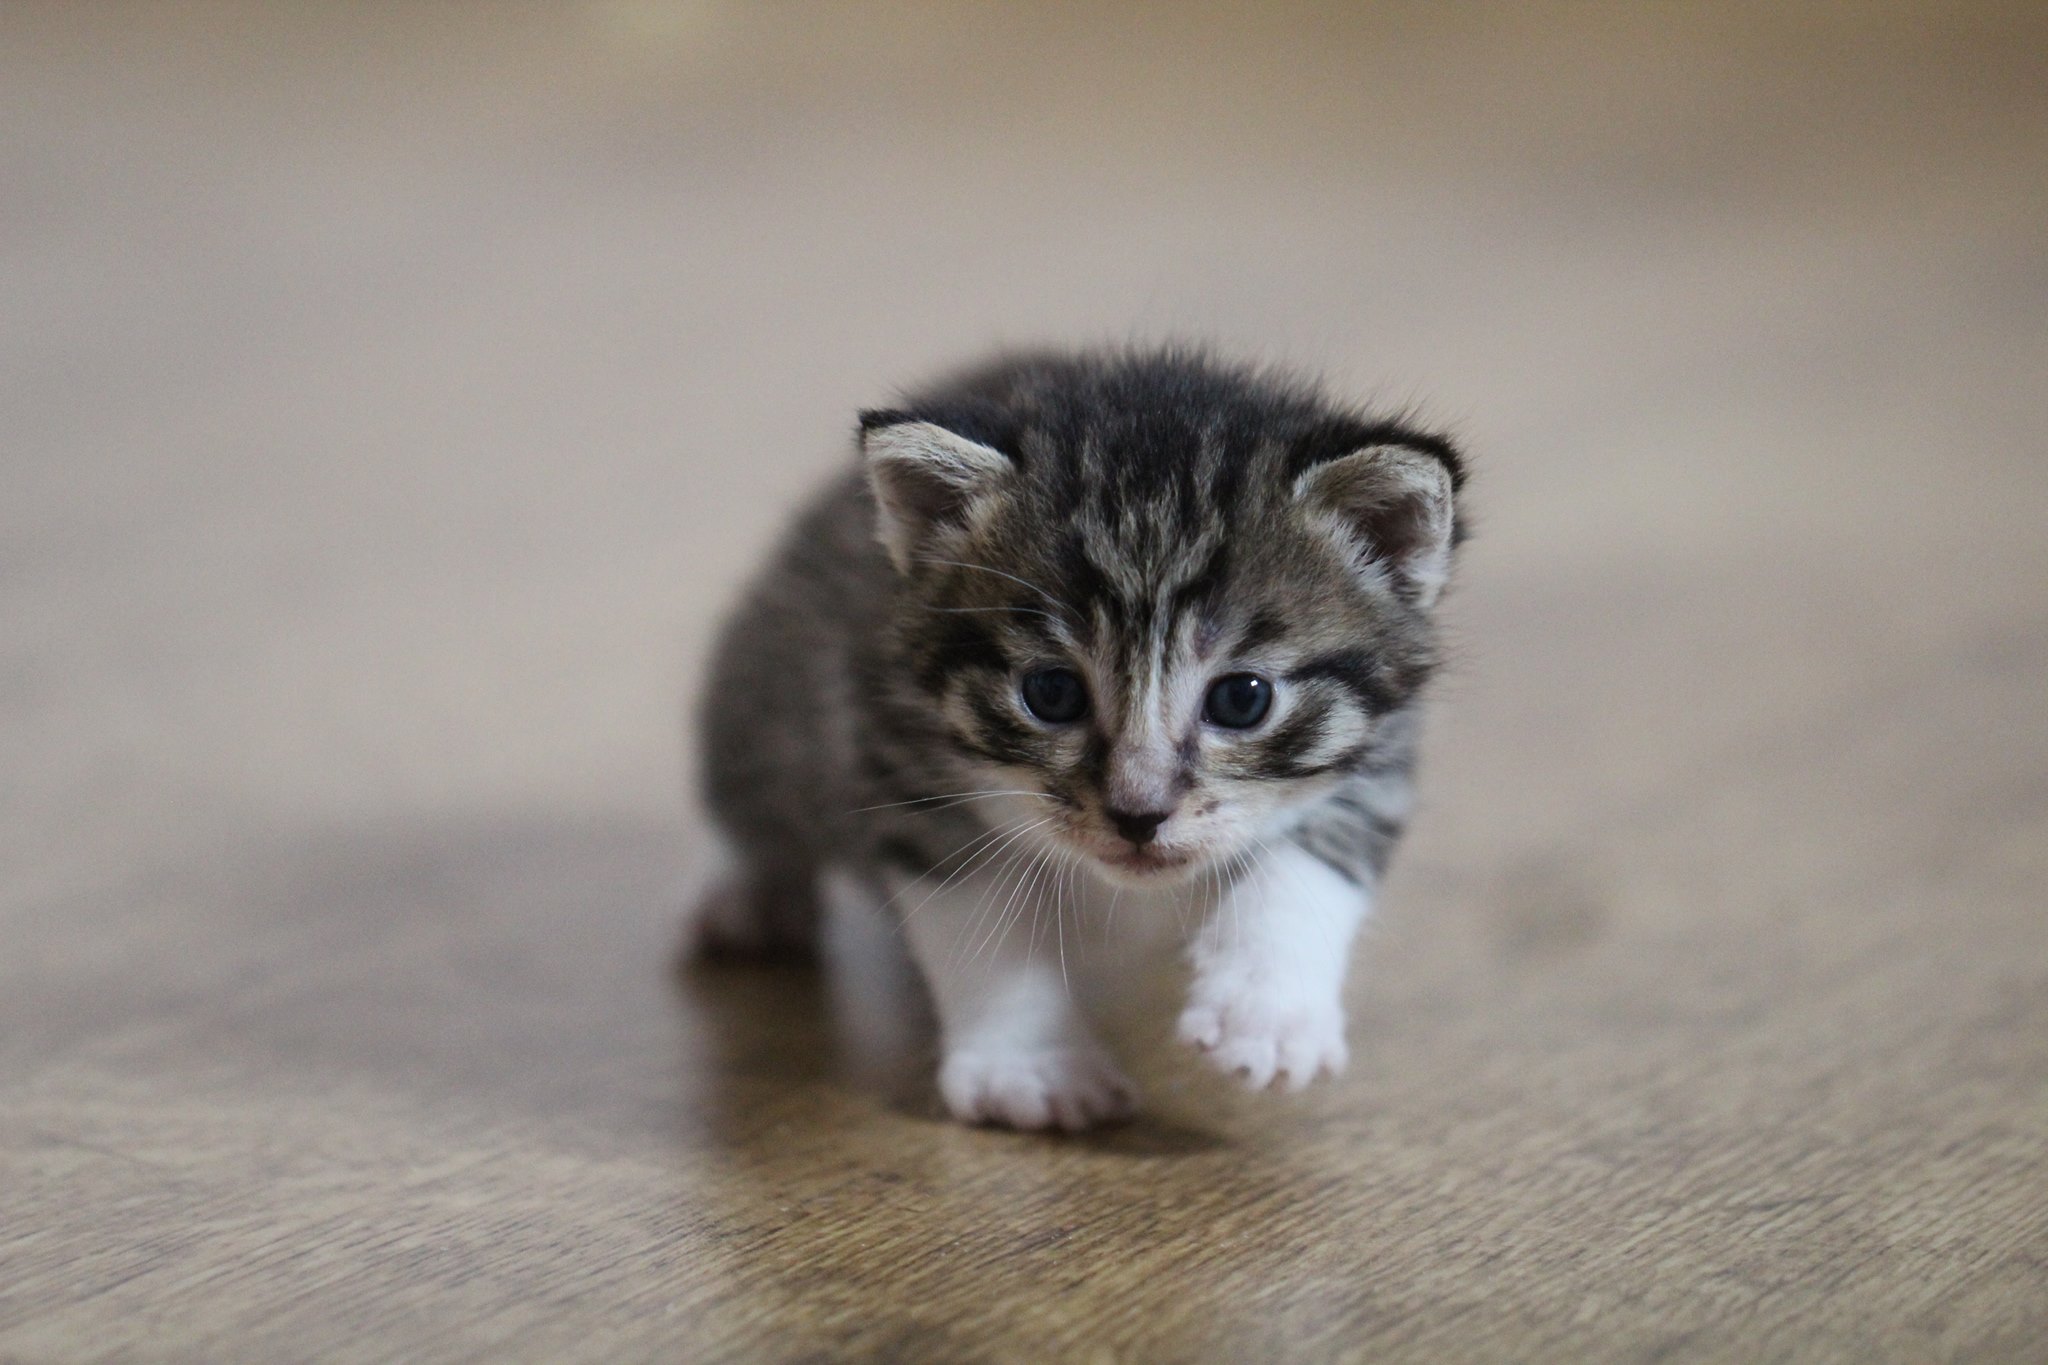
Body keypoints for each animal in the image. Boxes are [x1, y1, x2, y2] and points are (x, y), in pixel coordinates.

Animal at [688, 347, 1465, 1130]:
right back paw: (759, 900)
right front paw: (1030, 1066)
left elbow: (1314, 859)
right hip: (758, 702)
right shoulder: (898, 748)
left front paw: (1266, 1012)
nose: (1138, 815)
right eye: (1052, 693)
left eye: (1243, 699)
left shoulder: (1382, 755)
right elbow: (977, 918)